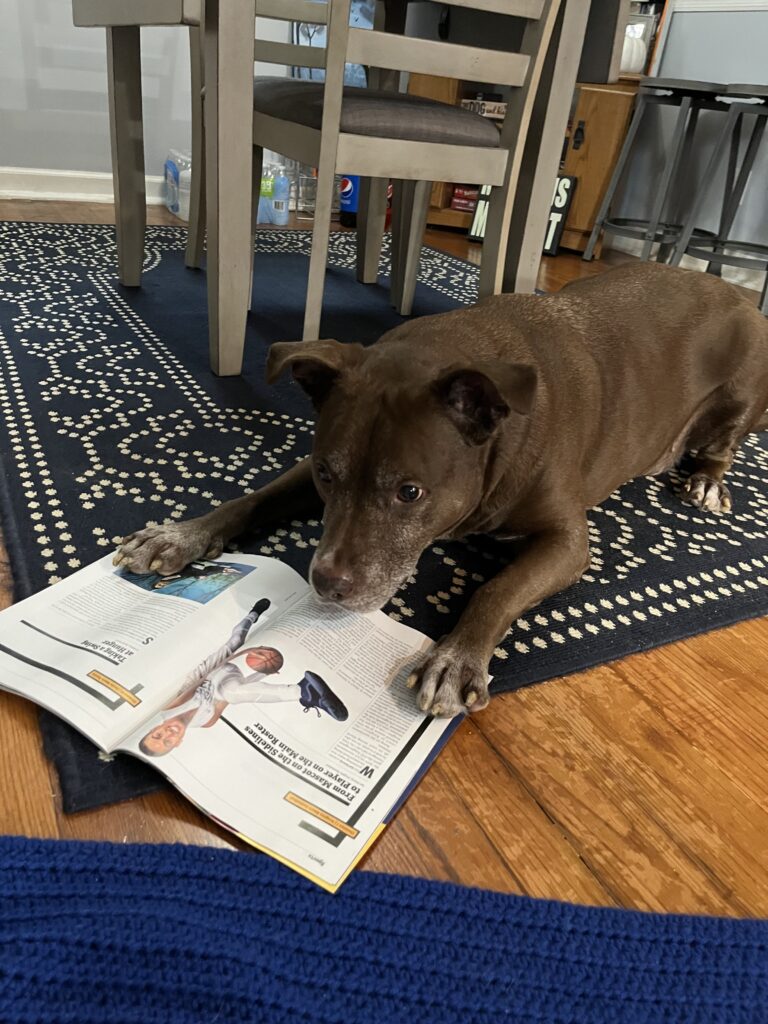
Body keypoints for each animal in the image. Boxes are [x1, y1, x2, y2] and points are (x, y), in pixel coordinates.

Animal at [112, 262, 768, 712]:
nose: (326, 583)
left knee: (725, 443)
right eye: (327, 474)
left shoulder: (566, 540)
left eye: (410, 493)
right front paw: (179, 534)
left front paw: (455, 658)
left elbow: (497, 589)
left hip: (743, 389)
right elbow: (253, 497)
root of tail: (736, 291)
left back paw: (706, 483)